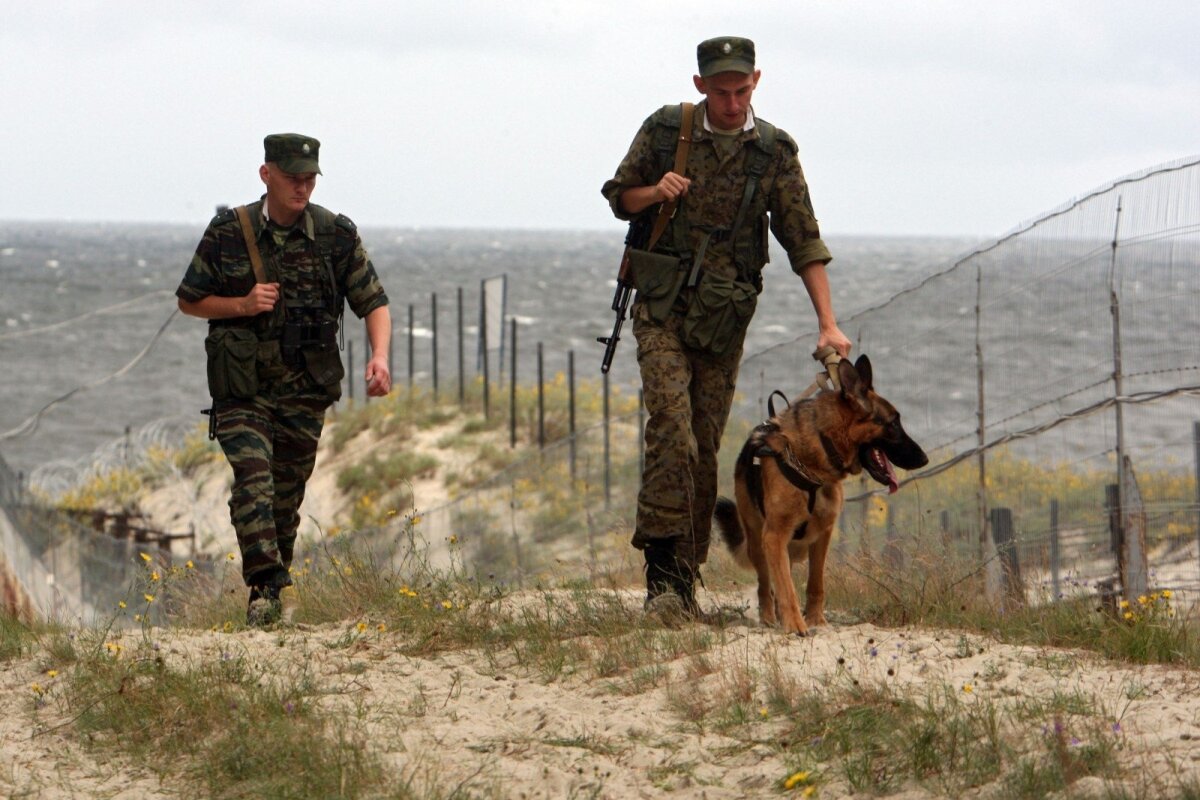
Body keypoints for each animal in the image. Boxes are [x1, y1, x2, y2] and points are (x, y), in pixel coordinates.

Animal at [710, 357, 926, 638]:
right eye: (894, 423)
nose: (925, 459)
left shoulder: (822, 534)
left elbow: (815, 583)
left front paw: (815, 620)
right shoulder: (775, 536)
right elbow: (787, 588)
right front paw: (795, 624)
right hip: (758, 541)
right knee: (765, 584)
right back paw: (769, 617)